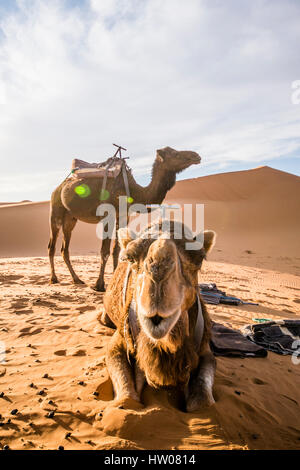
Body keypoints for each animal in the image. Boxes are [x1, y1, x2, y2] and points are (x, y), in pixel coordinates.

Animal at [48, 145, 199, 290]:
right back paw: (54, 278)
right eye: (175, 154)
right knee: (52, 245)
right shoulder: (108, 214)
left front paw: (116, 281)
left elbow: (117, 250)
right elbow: (105, 251)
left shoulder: (123, 215)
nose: (196, 156)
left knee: (64, 248)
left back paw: (76, 279)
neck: (135, 192)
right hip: (55, 209)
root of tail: (59, 187)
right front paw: (99, 285)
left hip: (70, 218)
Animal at [102, 220, 216, 412]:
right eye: (130, 257)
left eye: (199, 258)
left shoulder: (204, 349)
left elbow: (203, 401)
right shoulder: (120, 340)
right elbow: (126, 400)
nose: (158, 272)